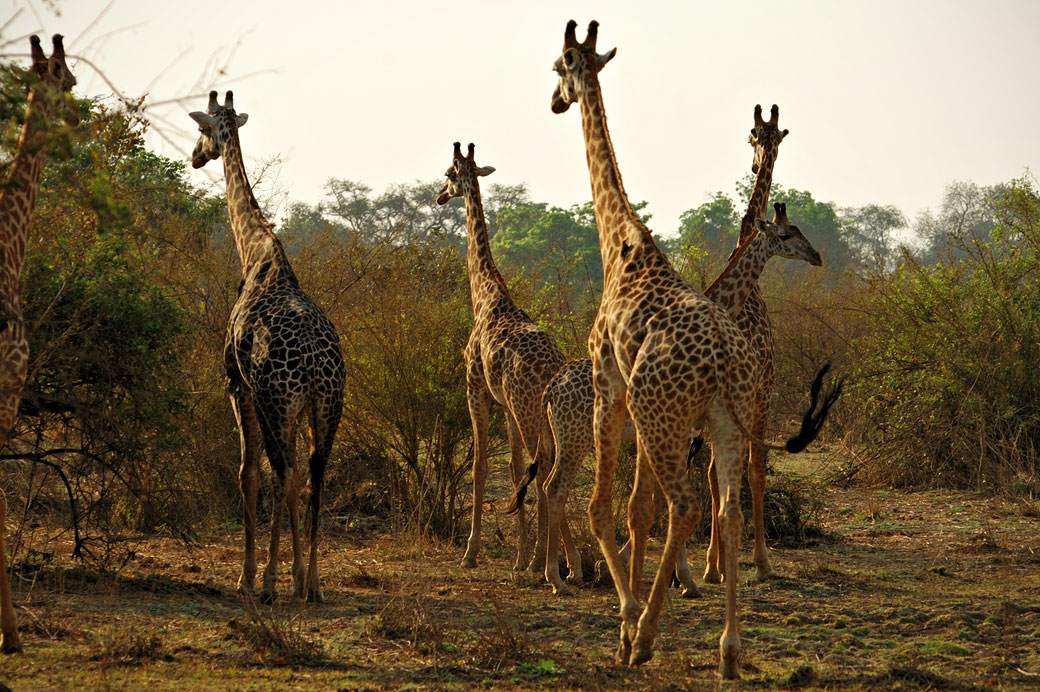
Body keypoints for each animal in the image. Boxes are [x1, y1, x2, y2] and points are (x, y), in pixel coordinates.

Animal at [188, 90, 345, 599]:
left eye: (201, 129)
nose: (195, 156)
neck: (256, 252)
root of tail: (316, 366)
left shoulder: (237, 385)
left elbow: (248, 473)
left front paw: (249, 574)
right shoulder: (292, 408)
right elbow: (292, 478)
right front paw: (296, 572)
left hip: (276, 401)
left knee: (283, 472)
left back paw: (272, 583)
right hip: (325, 407)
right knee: (313, 473)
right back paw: (312, 583)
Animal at [432, 141, 578, 570]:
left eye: (448, 173)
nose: (439, 196)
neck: (485, 296)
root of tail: (553, 366)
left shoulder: (476, 389)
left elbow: (481, 465)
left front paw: (472, 551)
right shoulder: (506, 406)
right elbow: (514, 468)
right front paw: (521, 554)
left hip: (529, 409)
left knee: (544, 467)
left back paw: (549, 562)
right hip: (539, 413)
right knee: (548, 466)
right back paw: (562, 559)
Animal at [553, 20, 836, 674]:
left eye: (559, 65)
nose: (555, 101)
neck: (619, 243)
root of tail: (725, 361)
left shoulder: (611, 385)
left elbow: (610, 507)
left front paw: (627, 620)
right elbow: (638, 507)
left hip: (669, 415)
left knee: (682, 503)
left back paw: (647, 634)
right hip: (719, 418)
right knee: (723, 505)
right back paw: (728, 648)